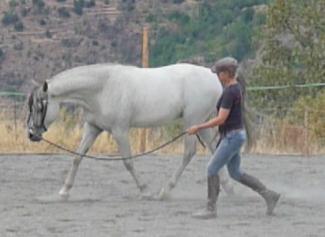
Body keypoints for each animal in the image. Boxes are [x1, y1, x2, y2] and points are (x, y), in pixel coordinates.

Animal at [26, 63, 233, 200]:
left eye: (39, 107)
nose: (31, 134)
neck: (102, 89)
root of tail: (214, 78)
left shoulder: (120, 131)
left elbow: (128, 162)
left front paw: (144, 190)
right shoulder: (92, 128)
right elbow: (77, 157)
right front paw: (64, 191)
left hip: (192, 122)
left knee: (189, 153)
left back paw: (165, 191)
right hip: (201, 124)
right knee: (214, 149)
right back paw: (227, 187)